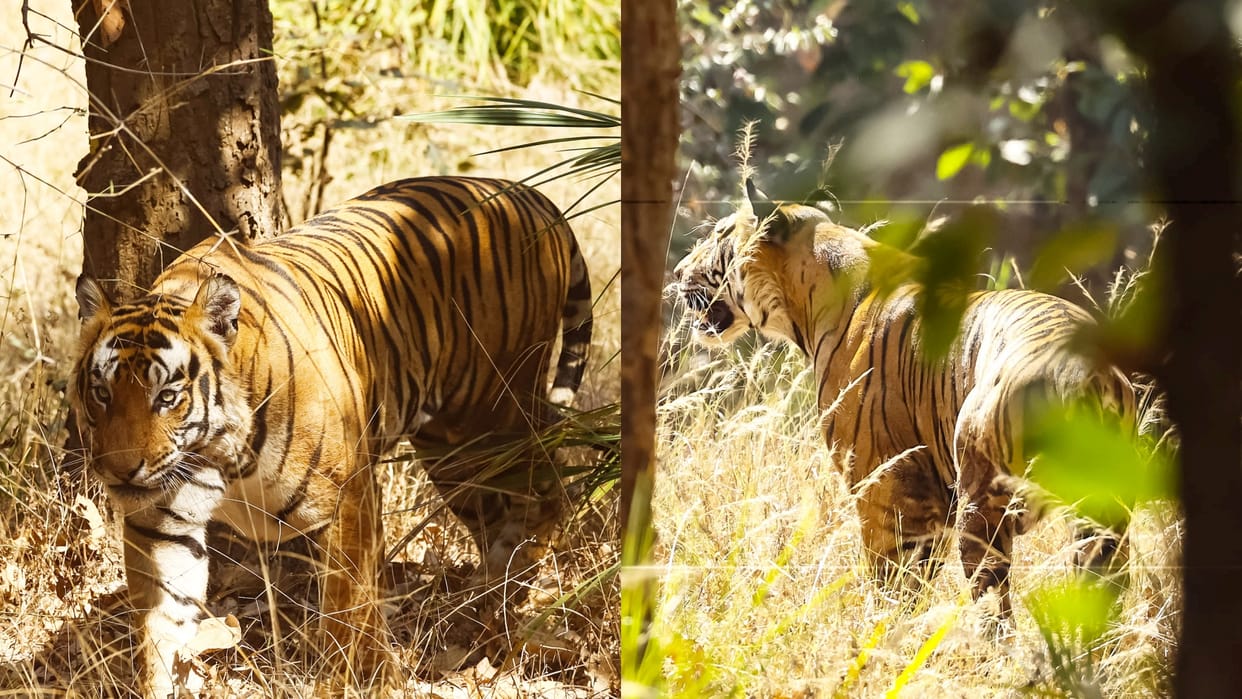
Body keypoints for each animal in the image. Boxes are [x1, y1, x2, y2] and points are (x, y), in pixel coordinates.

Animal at [68, 176, 593, 696]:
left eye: (167, 396)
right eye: (101, 393)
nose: (120, 472)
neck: (218, 451)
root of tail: (530, 195)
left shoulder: (348, 502)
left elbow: (347, 615)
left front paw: (356, 681)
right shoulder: (161, 526)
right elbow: (161, 628)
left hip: (492, 411)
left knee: (551, 477)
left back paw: (516, 585)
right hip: (449, 448)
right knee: (495, 511)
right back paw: (483, 593)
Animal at [671, 179, 1135, 616]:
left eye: (719, 234)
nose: (676, 272)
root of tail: (1080, 371)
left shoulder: (884, 488)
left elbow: (893, 586)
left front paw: (880, 638)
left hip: (983, 505)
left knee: (993, 605)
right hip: (1103, 513)